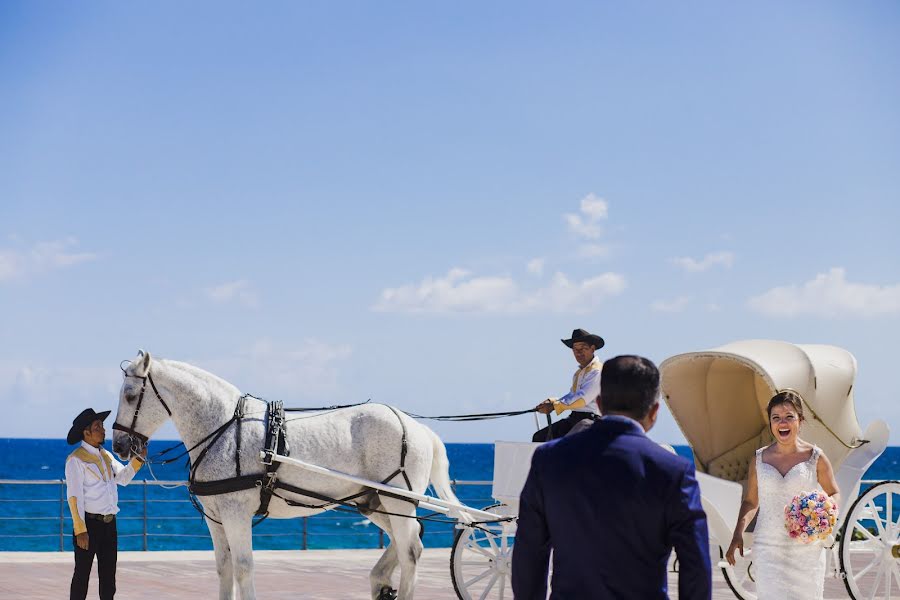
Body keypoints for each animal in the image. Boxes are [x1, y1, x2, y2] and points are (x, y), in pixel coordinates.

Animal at [110, 350, 464, 596]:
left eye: (130, 395)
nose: (120, 445)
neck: (223, 427)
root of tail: (416, 426)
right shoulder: (216, 518)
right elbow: (224, 569)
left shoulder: (236, 513)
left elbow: (243, 568)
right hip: (374, 501)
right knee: (411, 538)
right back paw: (380, 580)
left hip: (397, 500)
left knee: (410, 550)